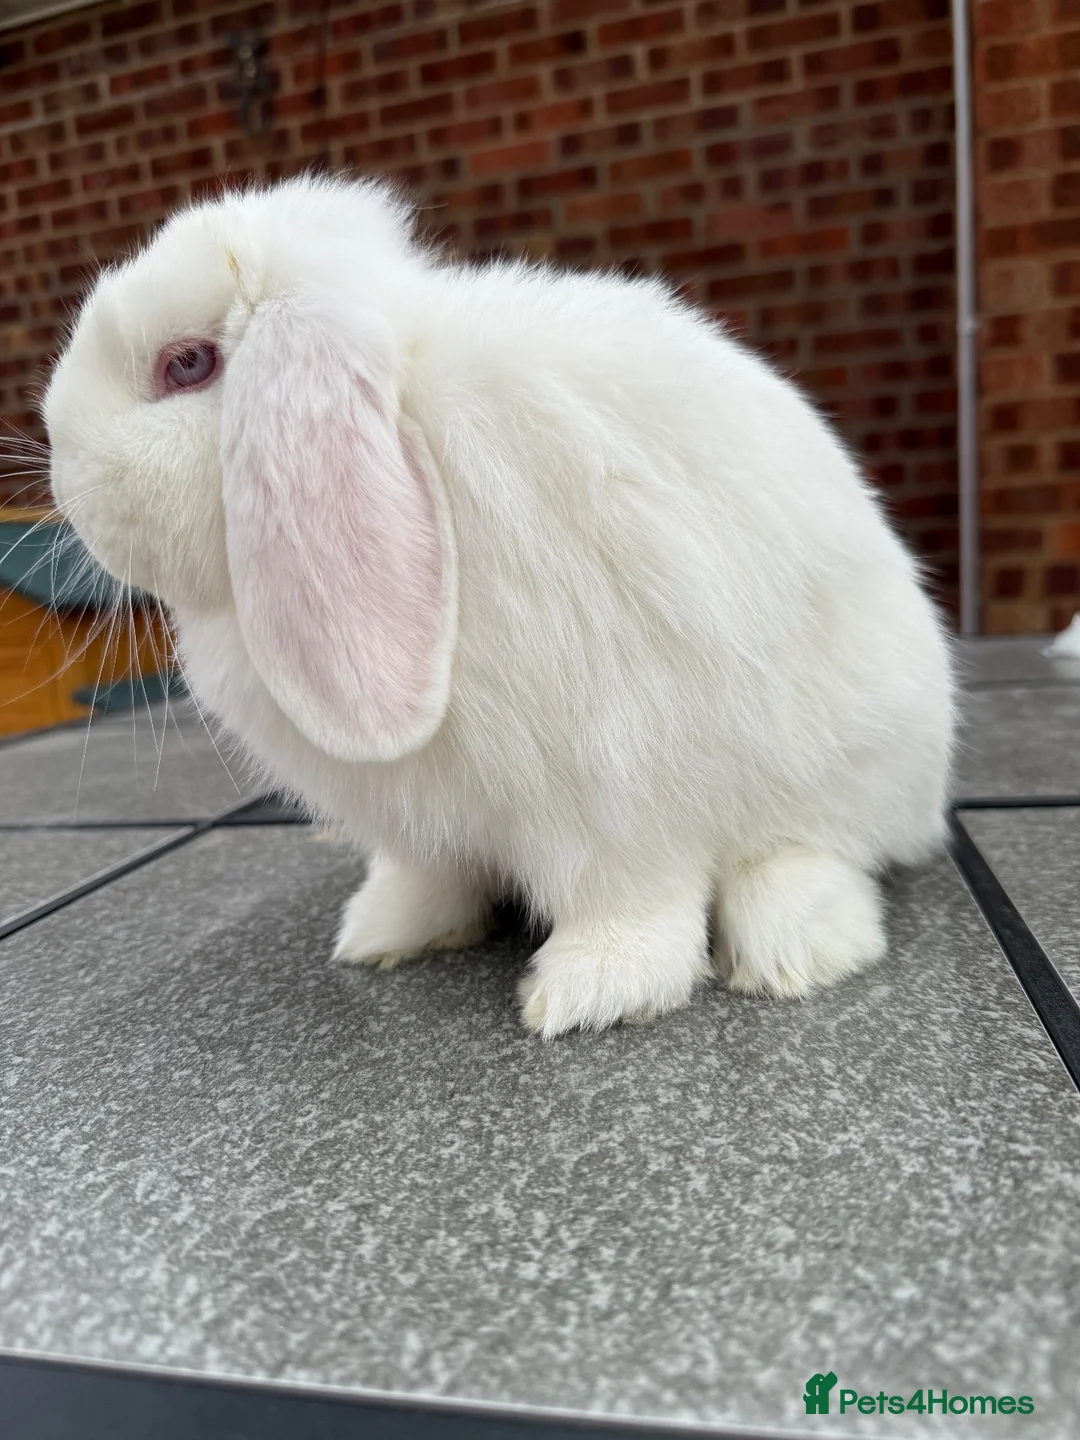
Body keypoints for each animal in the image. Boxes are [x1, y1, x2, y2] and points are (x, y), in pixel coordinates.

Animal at [44, 174, 955, 1038]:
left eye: (186, 364)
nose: (62, 473)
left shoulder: (615, 780)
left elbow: (632, 901)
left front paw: (593, 990)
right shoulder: (434, 824)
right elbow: (431, 875)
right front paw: (384, 932)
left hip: (847, 765)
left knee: (823, 853)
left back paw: (791, 950)